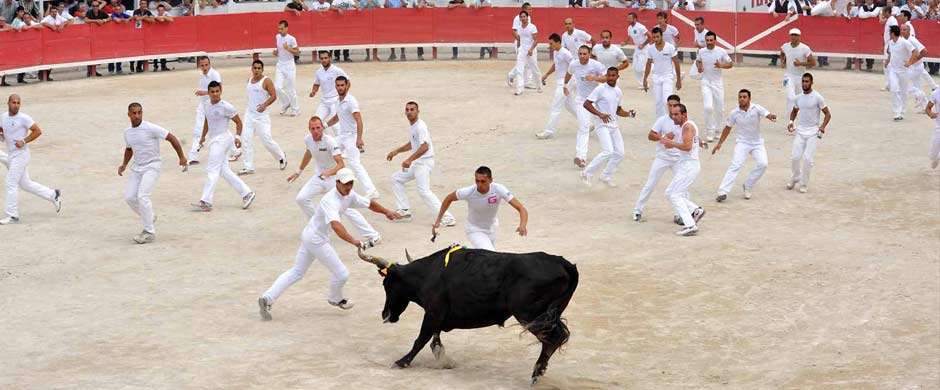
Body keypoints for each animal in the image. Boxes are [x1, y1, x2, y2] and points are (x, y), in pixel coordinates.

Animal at [360, 247, 580, 384]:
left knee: (554, 338)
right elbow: (434, 340)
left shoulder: (433, 313)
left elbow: (421, 339)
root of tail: (562, 262)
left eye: (386, 284)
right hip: (546, 315)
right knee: (553, 339)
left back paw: (536, 373)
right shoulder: (437, 316)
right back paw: (538, 372)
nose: (385, 314)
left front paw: (402, 362)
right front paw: (443, 360)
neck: (428, 273)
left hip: (531, 314)